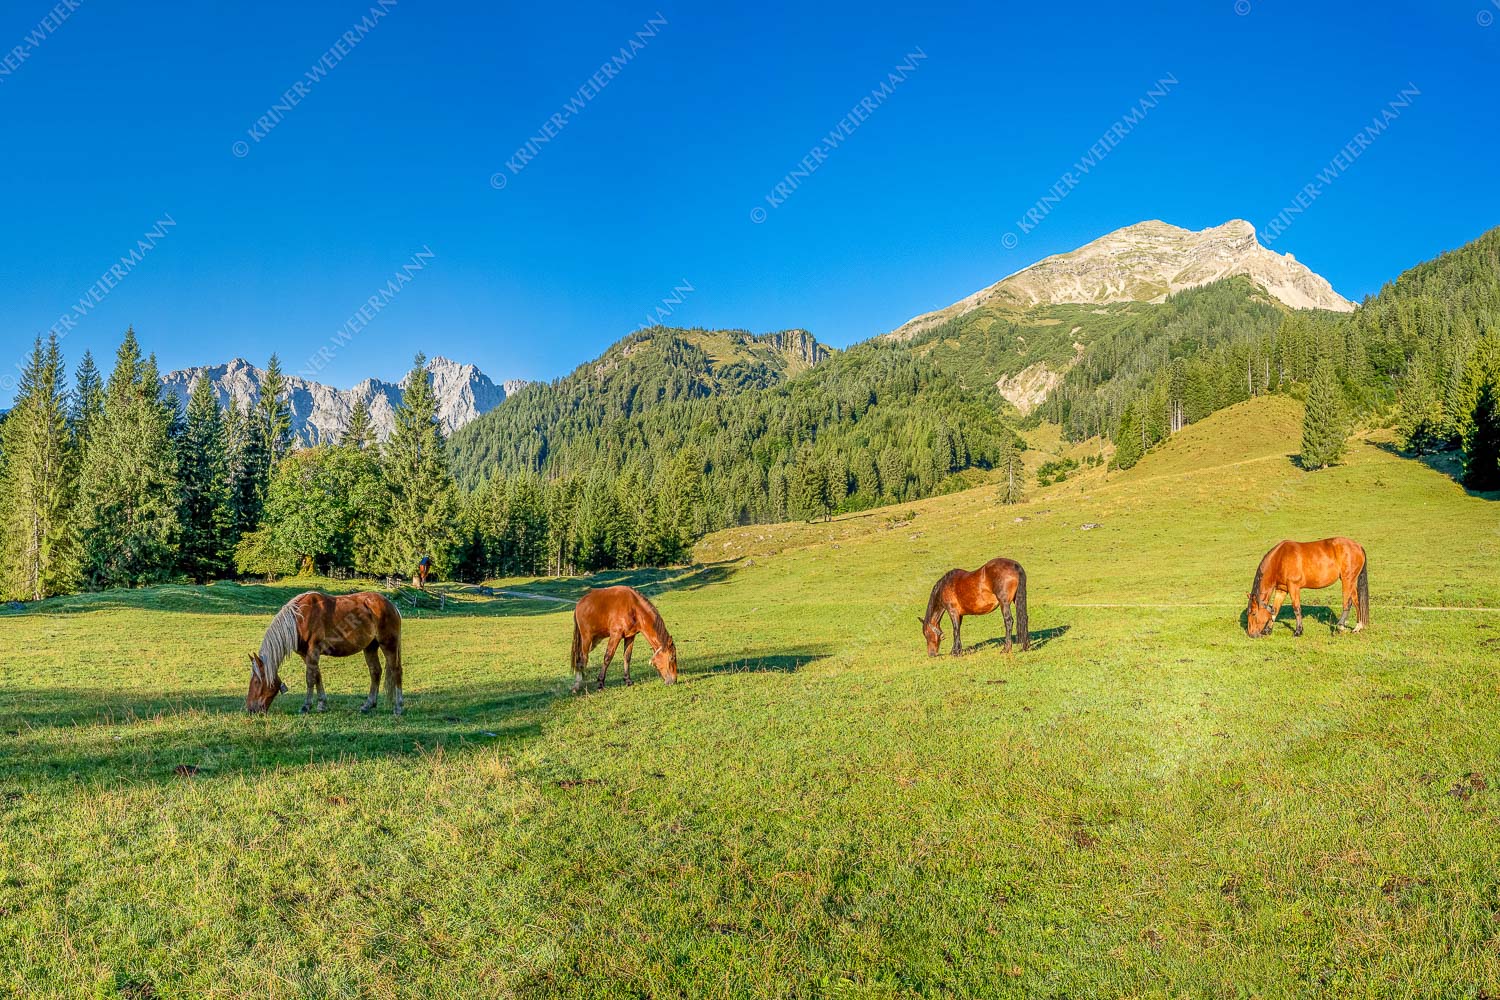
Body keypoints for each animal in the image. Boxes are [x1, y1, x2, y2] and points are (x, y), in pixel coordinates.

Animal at [246, 591, 405, 714]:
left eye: (256, 681)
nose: (250, 709)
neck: (300, 618)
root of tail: (392, 606)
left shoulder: (313, 651)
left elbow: (310, 678)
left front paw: (306, 706)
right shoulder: (306, 654)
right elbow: (317, 676)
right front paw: (322, 705)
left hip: (389, 645)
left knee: (396, 670)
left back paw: (398, 707)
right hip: (370, 647)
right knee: (375, 672)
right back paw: (368, 705)